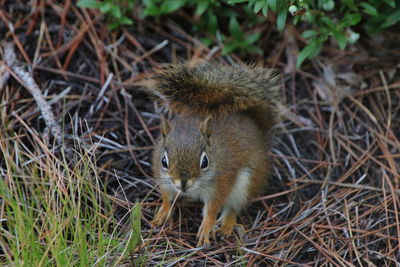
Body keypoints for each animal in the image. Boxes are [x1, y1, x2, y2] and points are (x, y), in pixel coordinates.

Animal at [145, 60, 282, 247]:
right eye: (164, 162)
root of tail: (258, 131)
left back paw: (226, 225)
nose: (183, 184)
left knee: (233, 207)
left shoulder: (222, 181)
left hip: (247, 184)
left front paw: (206, 227)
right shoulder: (163, 178)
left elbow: (213, 207)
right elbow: (167, 196)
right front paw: (163, 211)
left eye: (205, 162)